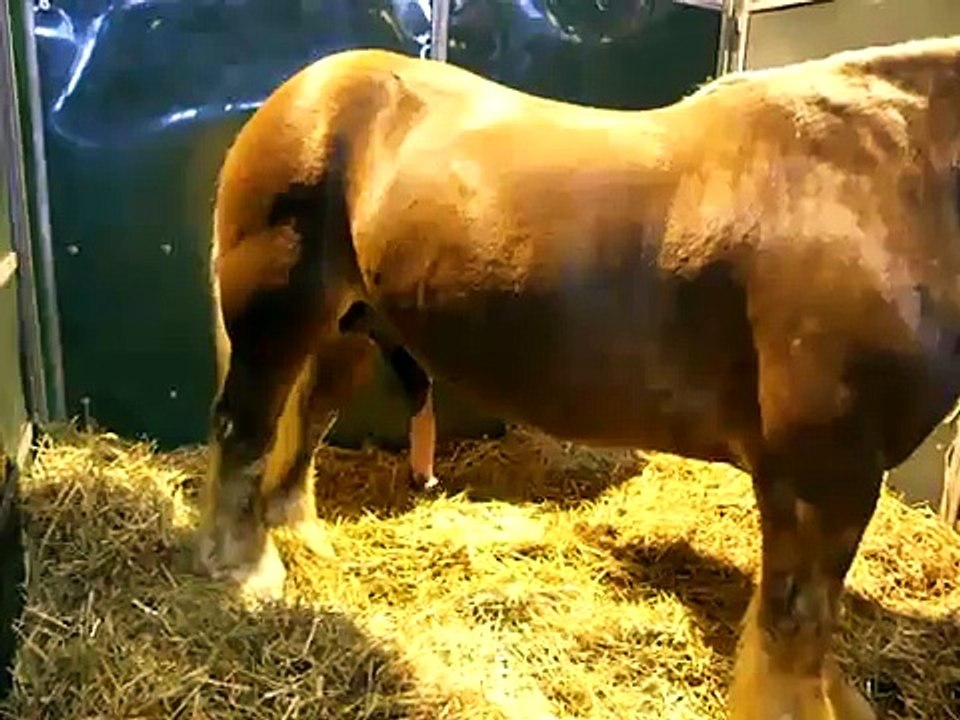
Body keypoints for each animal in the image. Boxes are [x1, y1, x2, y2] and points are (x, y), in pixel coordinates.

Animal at [199, 35, 960, 719]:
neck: (883, 185)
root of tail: (306, 89)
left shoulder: (822, 481)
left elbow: (808, 635)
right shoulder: (822, 475)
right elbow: (793, 637)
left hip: (346, 329)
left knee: (305, 428)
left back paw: (300, 538)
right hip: (277, 316)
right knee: (246, 430)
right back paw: (244, 571)